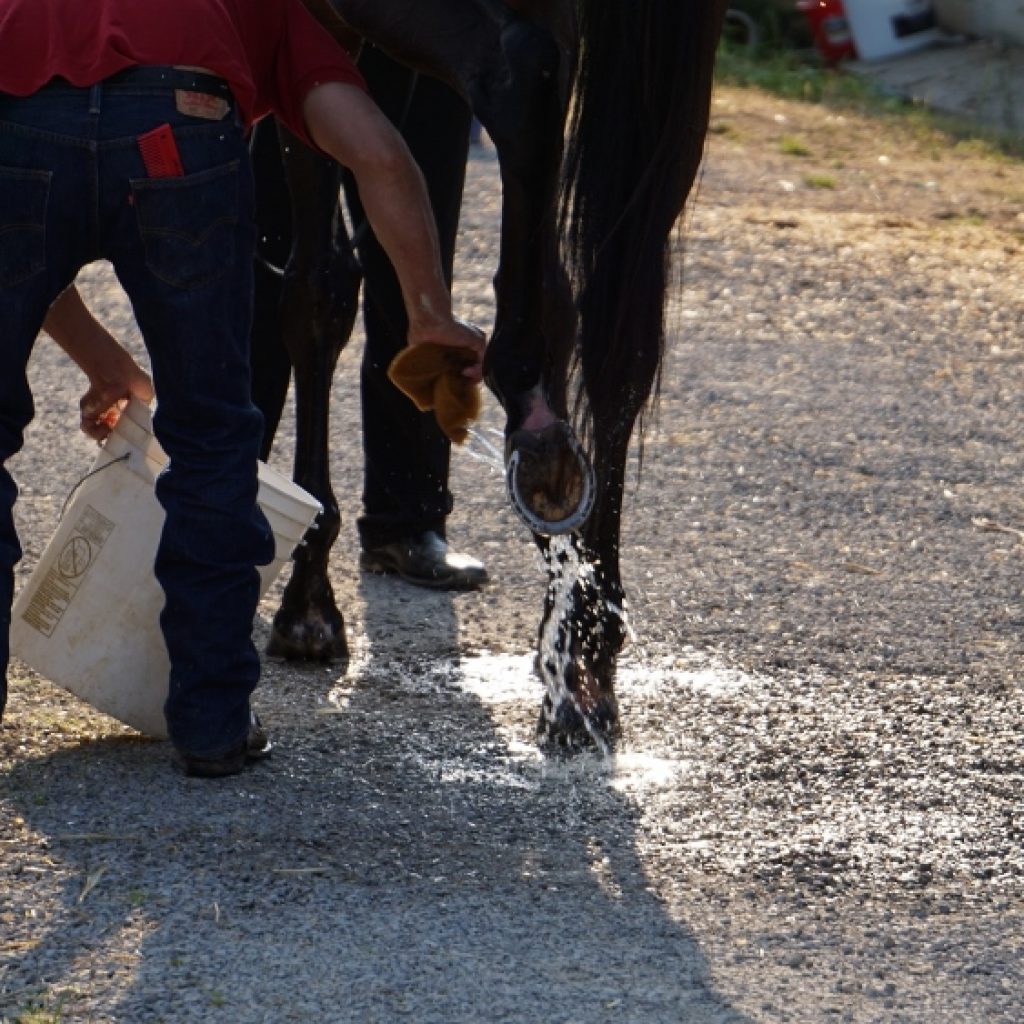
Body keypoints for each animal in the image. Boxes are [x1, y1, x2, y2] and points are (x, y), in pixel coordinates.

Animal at [248, 2, 729, 753]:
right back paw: (584, 654)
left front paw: (308, 600)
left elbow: (314, 294)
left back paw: (534, 424)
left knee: (521, 82)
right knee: (612, 322)